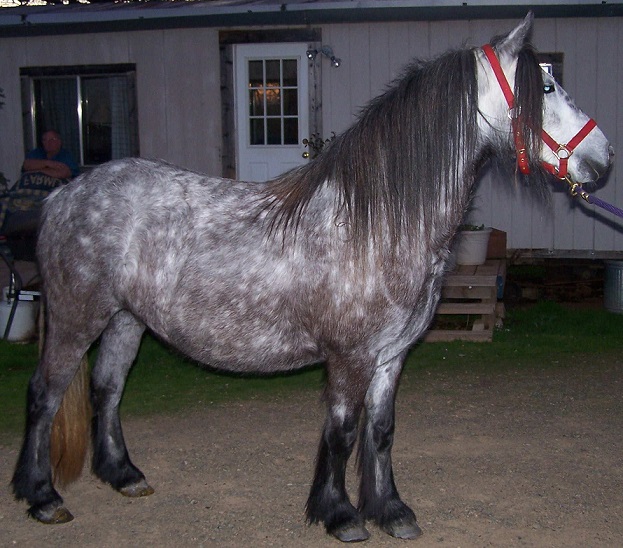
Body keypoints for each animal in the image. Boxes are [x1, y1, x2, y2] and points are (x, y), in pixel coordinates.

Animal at [11, 12, 616, 544]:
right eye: (546, 85)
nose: (604, 156)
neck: (378, 222)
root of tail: (64, 196)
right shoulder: (349, 357)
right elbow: (343, 432)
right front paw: (341, 515)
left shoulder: (390, 357)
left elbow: (380, 431)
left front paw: (390, 511)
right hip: (76, 319)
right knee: (45, 393)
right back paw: (42, 497)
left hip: (125, 321)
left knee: (107, 389)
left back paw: (124, 476)